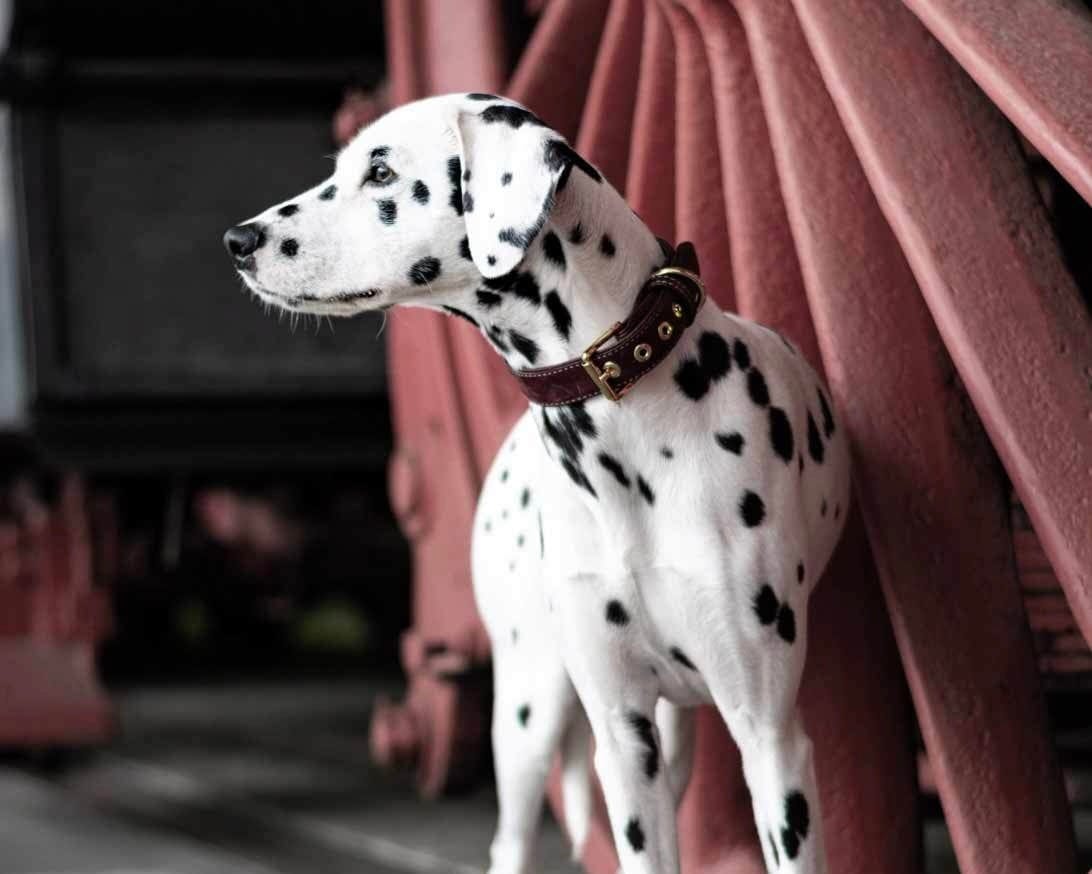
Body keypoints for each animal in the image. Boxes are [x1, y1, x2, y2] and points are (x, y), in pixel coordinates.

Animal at [223, 90, 851, 874]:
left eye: (381, 173)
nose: (237, 240)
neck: (624, 426)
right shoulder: (622, 740)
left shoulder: (769, 741)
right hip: (528, 714)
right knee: (512, 838)